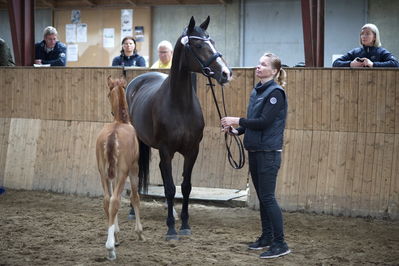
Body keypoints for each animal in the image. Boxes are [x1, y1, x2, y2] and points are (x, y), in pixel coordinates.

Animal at [126, 16, 233, 240]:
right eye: (199, 45)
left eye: (213, 42)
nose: (226, 73)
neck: (180, 105)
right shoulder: (167, 150)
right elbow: (168, 188)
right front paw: (171, 229)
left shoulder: (192, 150)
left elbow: (185, 187)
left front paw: (184, 224)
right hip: (141, 143)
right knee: (137, 174)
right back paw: (133, 210)